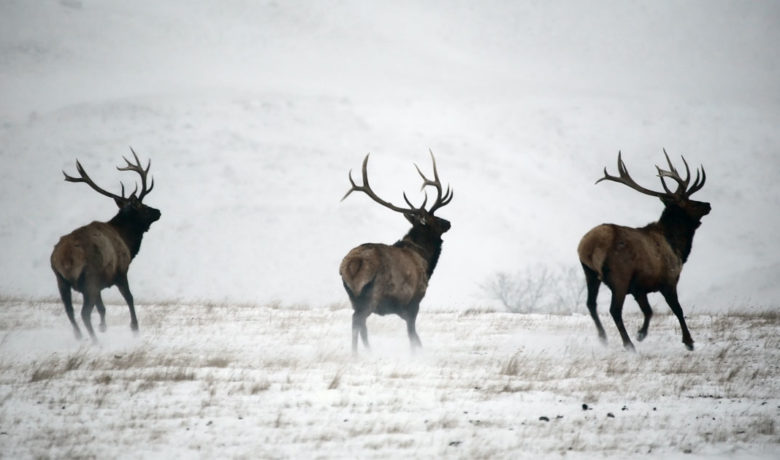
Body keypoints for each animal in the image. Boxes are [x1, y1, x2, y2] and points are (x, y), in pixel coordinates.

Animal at [50, 149, 161, 343]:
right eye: (142, 206)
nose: (158, 211)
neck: (128, 242)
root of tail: (64, 257)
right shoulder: (120, 271)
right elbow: (129, 298)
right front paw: (135, 328)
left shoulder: (100, 284)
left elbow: (102, 307)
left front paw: (103, 327)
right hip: (90, 276)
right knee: (84, 313)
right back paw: (95, 341)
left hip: (61, 280)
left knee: (70, 311)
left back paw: (79, 336)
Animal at [340, 150, 453, 354]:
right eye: (434, 219)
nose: (448, 222)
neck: (426, 261)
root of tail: (353, 264)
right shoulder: (414, 300)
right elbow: (413, 336)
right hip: (372, 293)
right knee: (357, 321)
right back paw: (358, 354)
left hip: (353, 296)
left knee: (360, 324)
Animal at [577, 150, 710, 351]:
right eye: (690, 202)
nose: (707, 204)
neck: (678, 247)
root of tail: (590, 246)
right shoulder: (668, 280)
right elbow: (678, 310)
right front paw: (689, 341)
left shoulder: (639, 287)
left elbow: (648, 311)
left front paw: (641, 333)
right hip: (619, 276)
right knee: (614, 310)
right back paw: (628, 344)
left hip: (590, 272)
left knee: (591, 303)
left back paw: (604, 337)